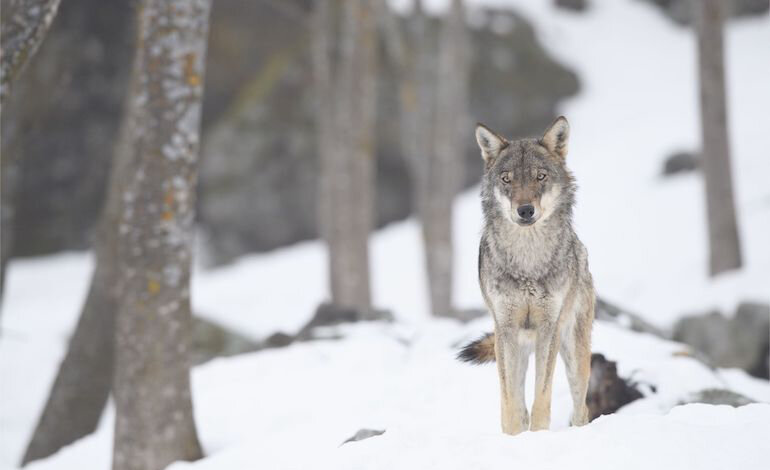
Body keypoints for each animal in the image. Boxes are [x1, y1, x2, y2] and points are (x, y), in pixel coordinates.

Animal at [457, 117, 595, 435]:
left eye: (540, 177)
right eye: (507, 179)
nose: (525, 210)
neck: (527, 263)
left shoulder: (549, 328)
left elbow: (542, 398)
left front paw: (539, 436)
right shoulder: (505, 328)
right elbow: (510, 405)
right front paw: (513, 438)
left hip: (574, 354)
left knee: (581, 407)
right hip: (515, 346)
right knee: (518, 402)